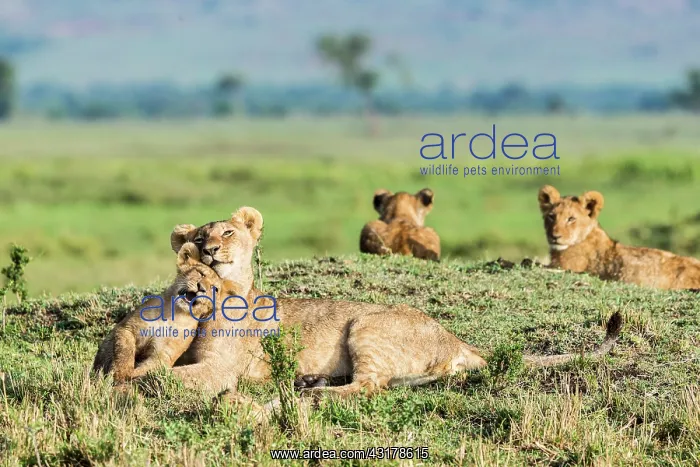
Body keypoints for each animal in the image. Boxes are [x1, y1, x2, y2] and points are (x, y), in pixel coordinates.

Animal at [92, 242, 241, 383]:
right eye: (200, 273)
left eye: (214, 289)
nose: (201, 288)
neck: (174, 315)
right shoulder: (127, 328)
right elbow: (125, 351)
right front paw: (120, 373)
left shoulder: (164, 354)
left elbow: (148, 368)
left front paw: (131, 377)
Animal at [160, 207, 623, 402]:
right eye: (198, 237)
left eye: (227, 232)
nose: (209, 250)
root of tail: (457, 338)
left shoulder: (226, 368)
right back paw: (311, 382)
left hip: (368, 325)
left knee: (371, 385)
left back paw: (314, 391)